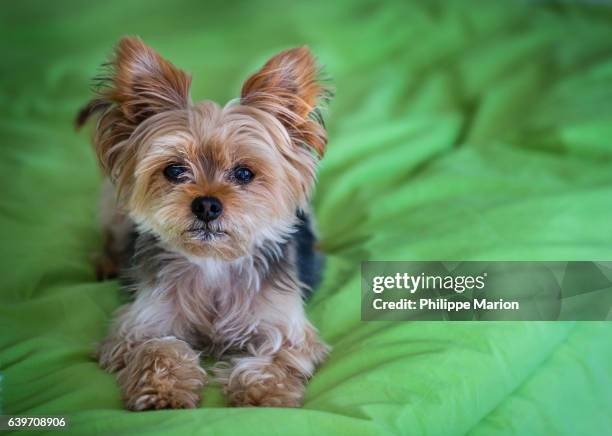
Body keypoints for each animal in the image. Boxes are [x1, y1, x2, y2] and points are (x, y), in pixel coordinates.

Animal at [79, 36, 334, 408]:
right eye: (174, 170)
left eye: (244, 173)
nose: (207, 205)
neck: (213, 263)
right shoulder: (138, 324)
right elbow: (159, 348)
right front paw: (162, 391)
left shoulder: (286, 329)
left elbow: (272, 358)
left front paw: (263, 393)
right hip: (113, 206)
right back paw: (107, 263)